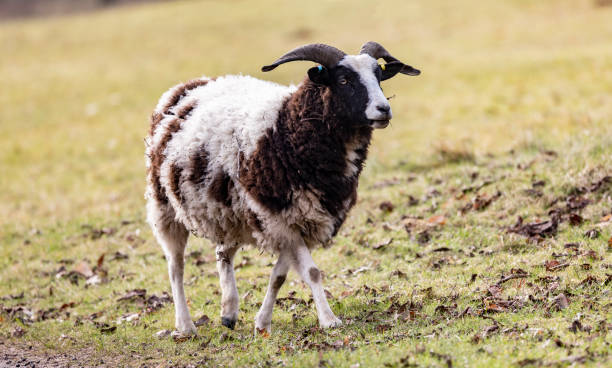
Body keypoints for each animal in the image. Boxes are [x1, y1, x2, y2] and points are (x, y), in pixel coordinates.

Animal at [145, 41, 420, 334]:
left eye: (379, 76)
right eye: (344, 80)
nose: (384, 109)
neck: (288, 128)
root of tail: (187, 86)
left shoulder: (296, 219)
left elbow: (279, 275)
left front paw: (262, 322)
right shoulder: (278, 218)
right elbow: (312, 272)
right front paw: (329, 320)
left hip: (231, 212)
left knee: (223, 253)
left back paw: (229, 313)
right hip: (165, 208)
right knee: (176, 267)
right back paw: (186, 325)